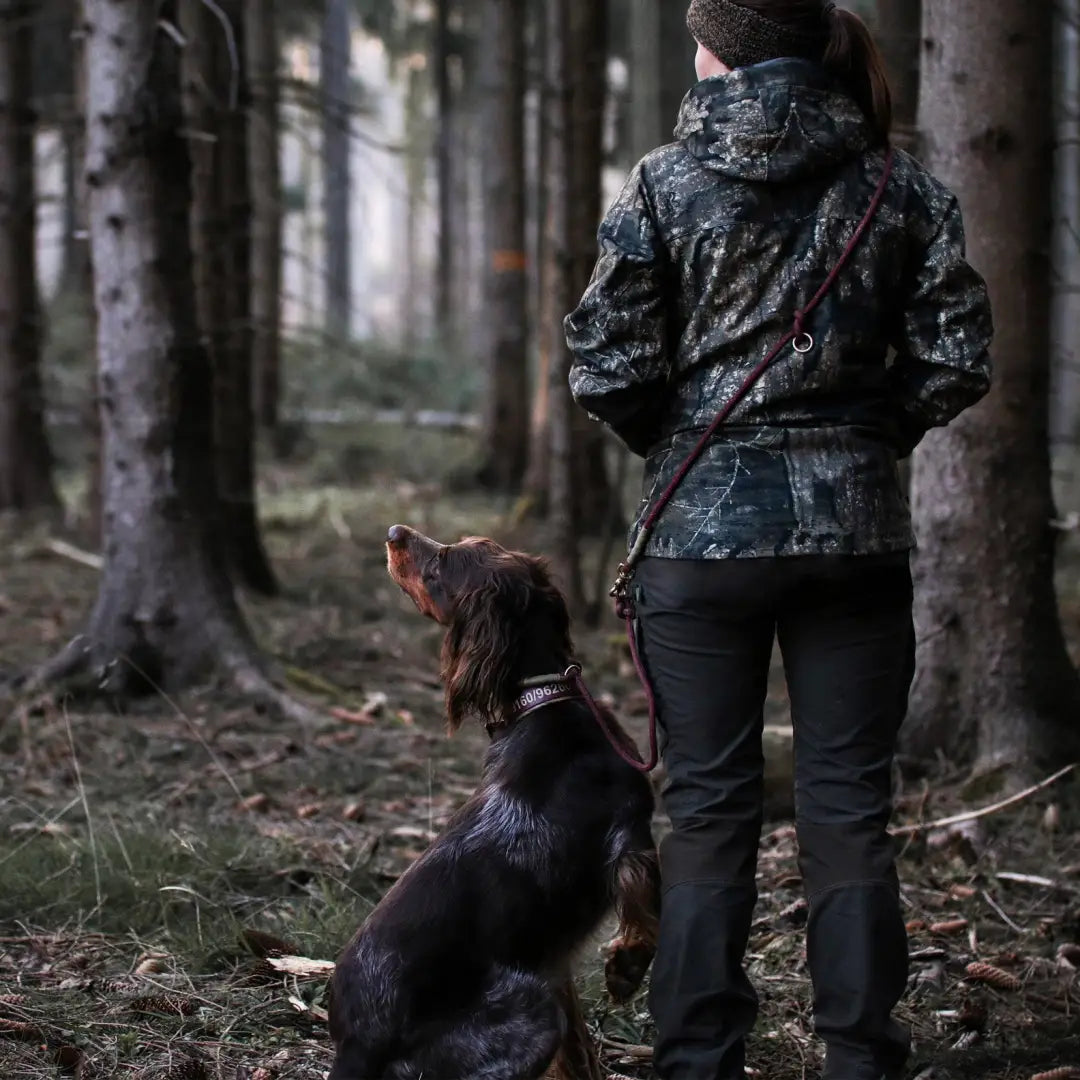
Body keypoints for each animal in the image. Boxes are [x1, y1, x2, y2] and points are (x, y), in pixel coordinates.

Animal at [328, 527, 660, 1080]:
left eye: (441, 564)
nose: (394, 532)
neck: (544, 699)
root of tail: (354, 1047)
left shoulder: (549, 958)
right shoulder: (630, 830)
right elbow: (645, 904)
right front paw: (627, 968)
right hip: (528, 1018)